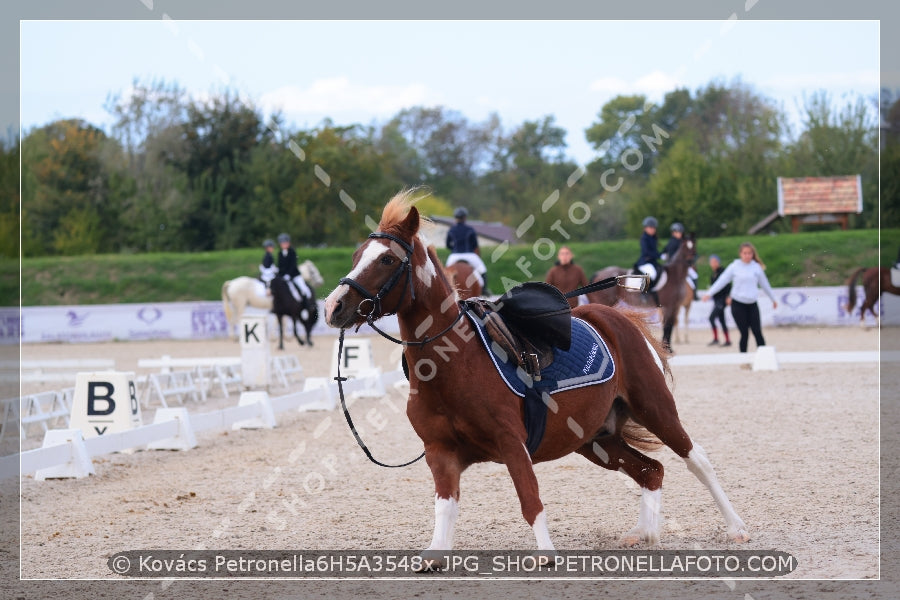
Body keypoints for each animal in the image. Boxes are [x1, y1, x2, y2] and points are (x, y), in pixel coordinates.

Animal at [324, 190, 744, 564]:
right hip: (594, 438)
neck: (452, 365)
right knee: (650, 471)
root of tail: (616, 316)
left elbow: (530, 498)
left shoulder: (512, 443)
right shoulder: (440, 452)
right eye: (357, 256)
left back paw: (735, 527)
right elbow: (445, 508)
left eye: (386, 259)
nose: (333, 306)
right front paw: (435, 553)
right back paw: (645, 533)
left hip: (654, 408)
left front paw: (545, 555)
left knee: (696, 459)